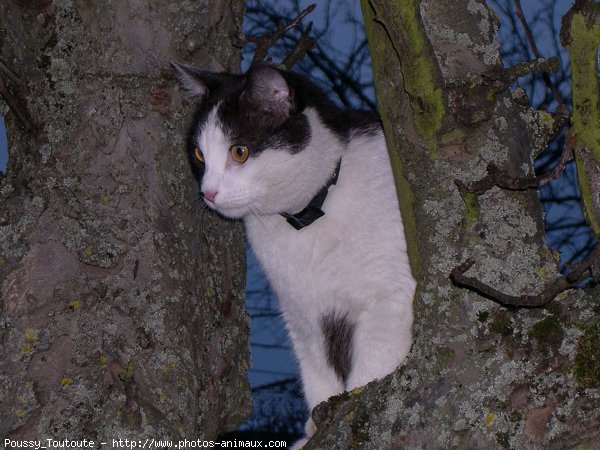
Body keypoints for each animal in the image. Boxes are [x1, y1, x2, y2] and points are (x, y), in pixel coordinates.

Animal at [173, 63, 414, 446]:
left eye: (239, 151)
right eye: (199, 155)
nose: (208, 192)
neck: (309, 215)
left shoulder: (390, 297)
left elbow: (373, 364)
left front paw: (357, 406)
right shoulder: (302, 314)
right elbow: (318, 368)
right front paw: (315, 428)